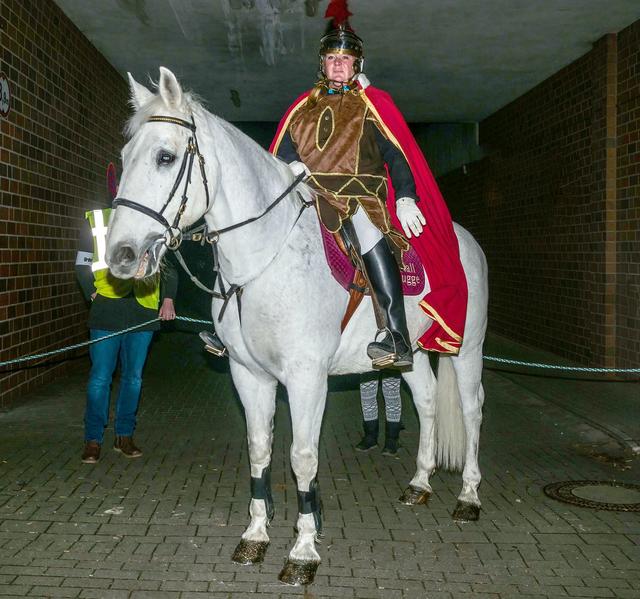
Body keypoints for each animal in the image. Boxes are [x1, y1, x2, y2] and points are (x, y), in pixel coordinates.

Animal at [106, 67, 484, 584]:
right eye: (125, 159)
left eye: (165, 156)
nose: (121, 255)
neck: (265, 257)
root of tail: (465, 238)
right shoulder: (249, 375)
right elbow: (260, 449)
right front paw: (255, 536)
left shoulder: (307, 378)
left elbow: (302, 457)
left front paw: (303, 550)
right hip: (414, 352)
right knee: (426, 401)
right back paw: (420, 482)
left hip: (466, 348)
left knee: (471, 410)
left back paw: (468, 496)